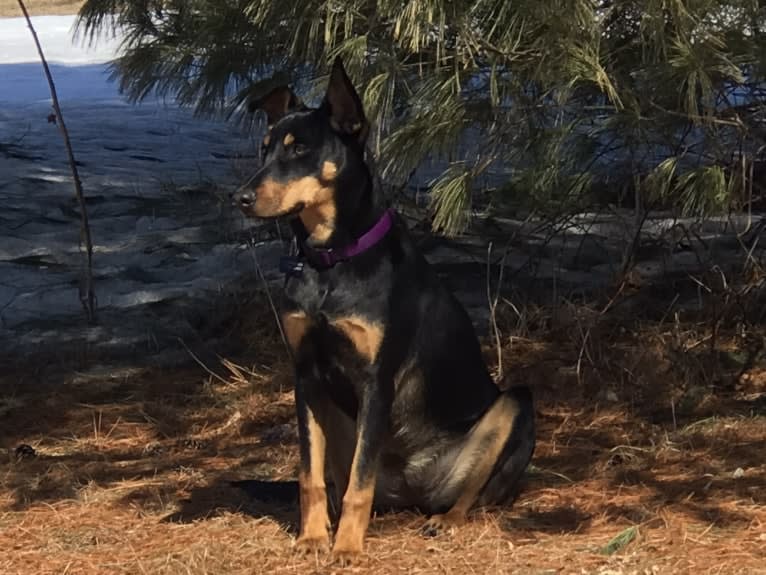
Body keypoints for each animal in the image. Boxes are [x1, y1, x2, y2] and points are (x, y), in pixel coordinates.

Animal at [236, 59, 540, 568]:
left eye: (299, 150)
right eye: (263, 150)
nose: (240, 197)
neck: (332, 261)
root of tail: (411, 492)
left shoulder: (376, 381)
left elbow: (360, 483)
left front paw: (346, 547)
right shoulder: (306, 376)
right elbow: (310, 475)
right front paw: (314, 539)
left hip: (516, 407)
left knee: (471, 495)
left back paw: (446, 521)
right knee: (341, 481)